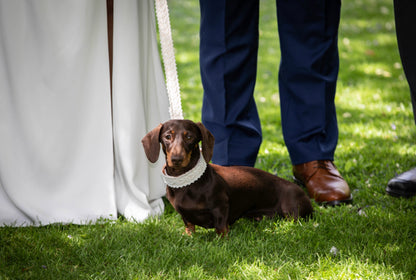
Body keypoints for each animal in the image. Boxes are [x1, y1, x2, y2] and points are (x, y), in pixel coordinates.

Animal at [142, 119, 312, 235]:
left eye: (189, 137)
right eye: (167, 136)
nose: (176, 159)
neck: (187, 182)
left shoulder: (220, 206)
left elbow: (221, 227)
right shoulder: (184, 214)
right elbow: (189, 225)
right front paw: (188, 236)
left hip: (293, 211)